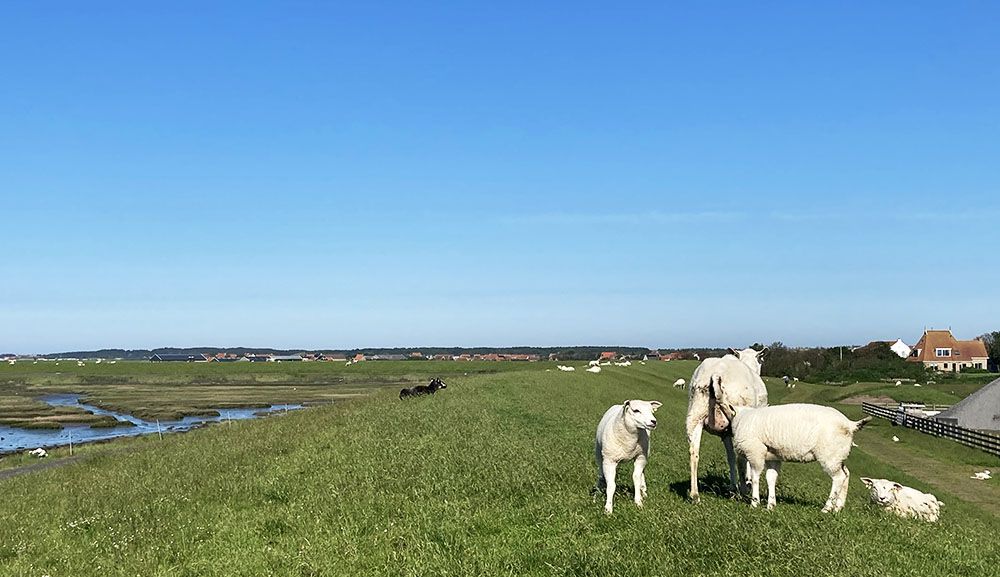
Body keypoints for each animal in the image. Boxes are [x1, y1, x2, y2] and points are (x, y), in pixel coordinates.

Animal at [684, 344, 768, 502]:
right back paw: (744, 490)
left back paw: (695, 494)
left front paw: (733, 485)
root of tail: (715, 374)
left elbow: (730, 457)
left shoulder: (725, 432)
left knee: (694, 453)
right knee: (741, 459)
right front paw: (746, 481)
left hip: (695, 415)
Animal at [720, 400, 876, 512]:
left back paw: (827, 508)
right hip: (837, 455)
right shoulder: (773, 456)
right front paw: (771, 505)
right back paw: (838, 507)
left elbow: (755, 478)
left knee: (839, 478)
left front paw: (755, 502)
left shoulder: (755, 452)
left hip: (829, 455)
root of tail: (850, 424)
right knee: (846, 474)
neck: (741, 419)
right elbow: (771, 478)